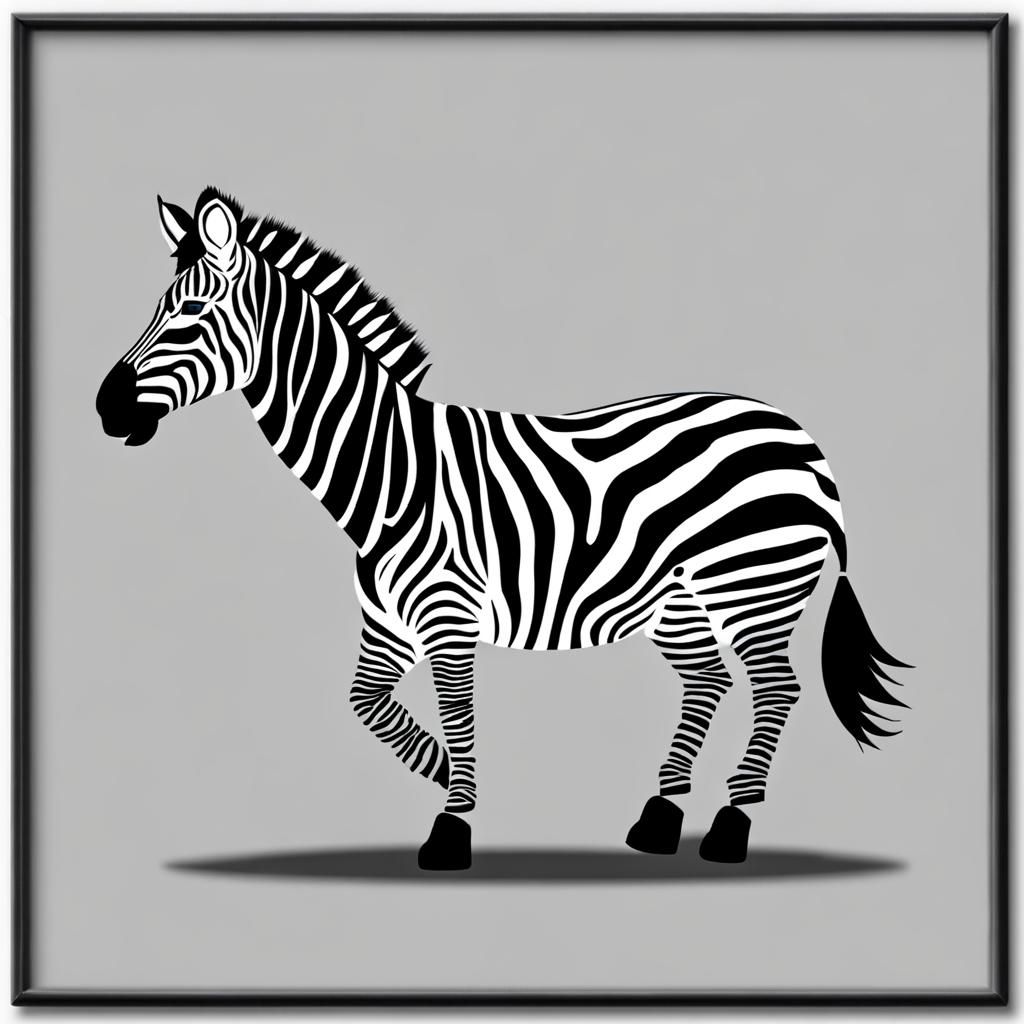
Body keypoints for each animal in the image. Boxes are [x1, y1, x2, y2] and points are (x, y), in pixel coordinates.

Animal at [97, 188, 909, 871]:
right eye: (159, 308)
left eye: (191, 314)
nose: (105, 406)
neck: (388, 473)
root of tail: (800, 437)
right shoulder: (389, 624)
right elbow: (369, 706)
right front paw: (446, 779)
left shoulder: (449, 614)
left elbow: (457, 714)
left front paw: (453, 820)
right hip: (679, 602)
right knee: (706, 681)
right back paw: (658, 820)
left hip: (755, 583)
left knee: (776, 689)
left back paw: (733, 827)